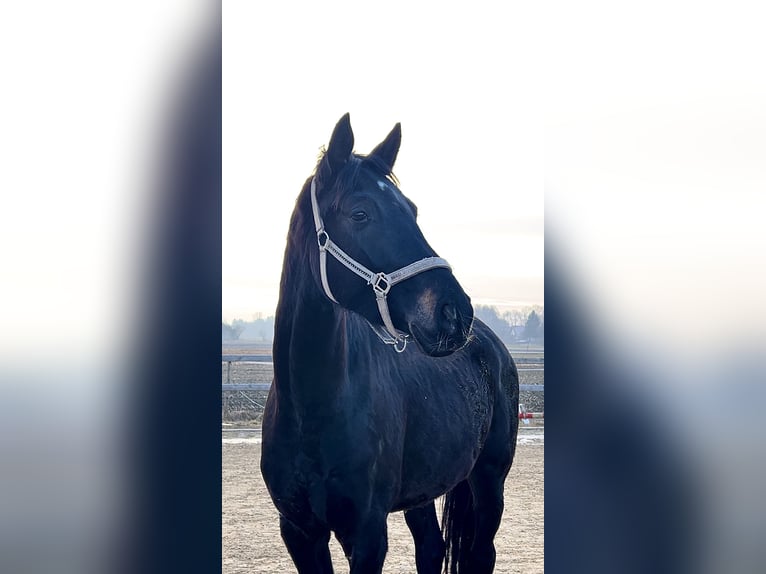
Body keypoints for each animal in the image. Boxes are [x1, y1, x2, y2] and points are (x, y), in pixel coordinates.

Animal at [260, 113, 519, 573]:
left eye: (411, 210)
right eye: (360, 213)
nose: (454, 312)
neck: (310, 408)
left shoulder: (367, 533)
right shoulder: (299, 532)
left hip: (489, 480)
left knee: (480, 554)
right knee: (431, 548)